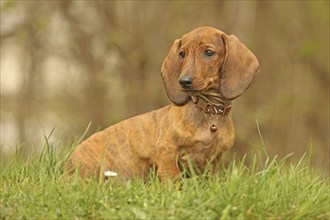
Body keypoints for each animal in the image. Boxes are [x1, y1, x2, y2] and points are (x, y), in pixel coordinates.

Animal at [65, 26, 260, 182]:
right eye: (182, 54)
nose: (184, 81)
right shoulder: (168, 151)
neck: (209, 111)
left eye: (209, 53)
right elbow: (174, 179)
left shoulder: (214, 159)